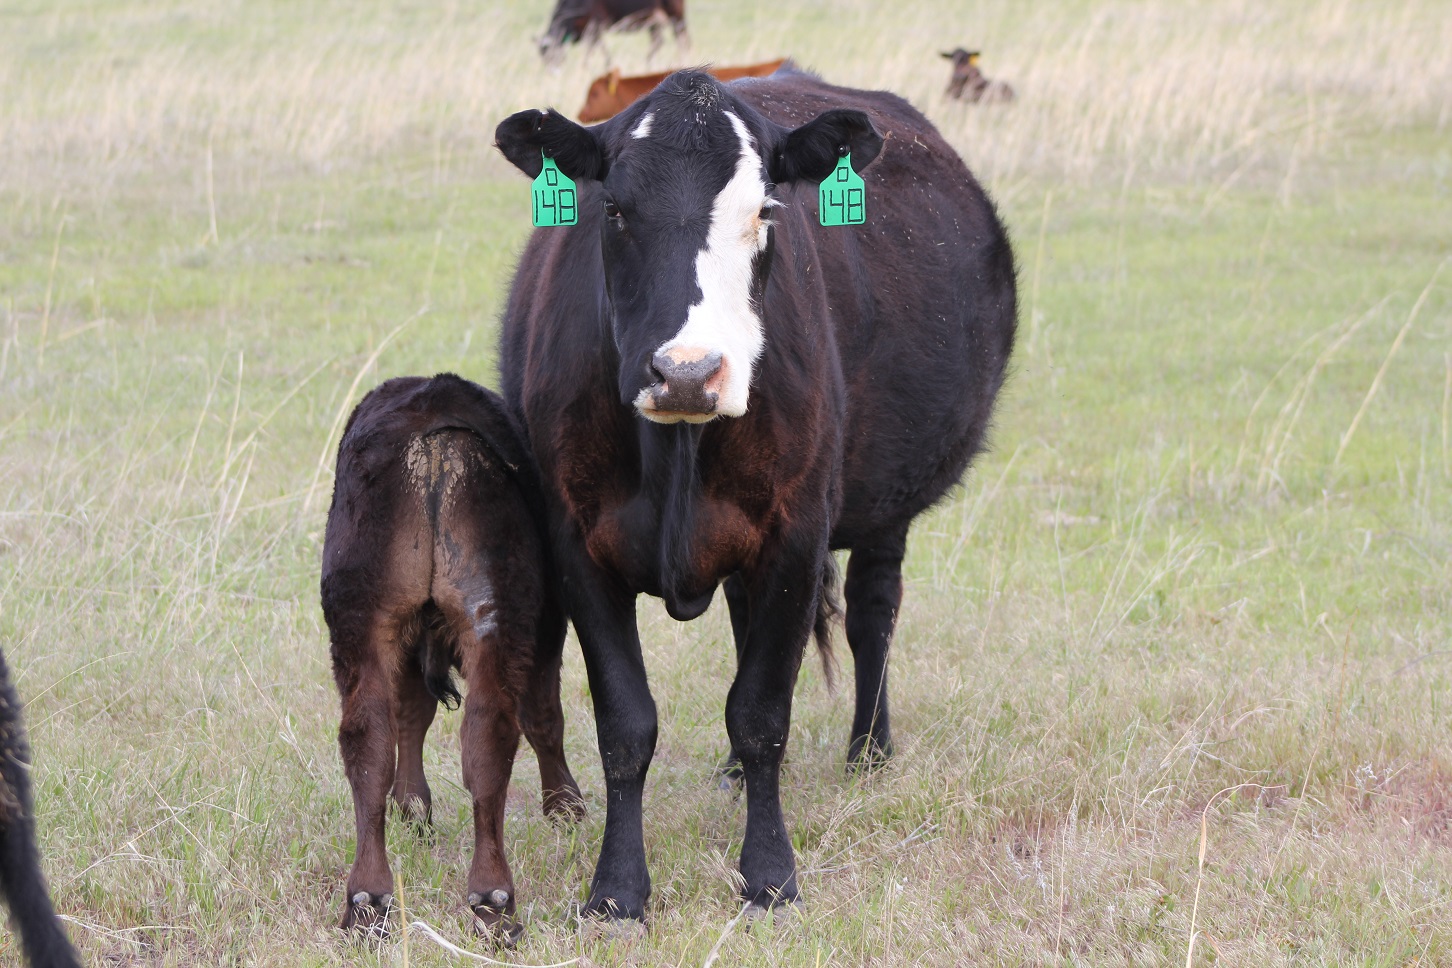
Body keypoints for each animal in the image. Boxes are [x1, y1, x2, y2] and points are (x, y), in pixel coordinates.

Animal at [321, 374, 584, 941]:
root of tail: (434, 443)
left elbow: (409, 716)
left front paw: (412, 808)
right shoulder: (548, 625)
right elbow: (545, 719)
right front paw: (565, 806)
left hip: (363, 621)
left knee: (369, 737)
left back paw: (369, 899)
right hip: (502, 621)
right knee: (494, 735)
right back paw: (493, 898)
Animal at [493, 67, 1016, 922]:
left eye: (765, 211)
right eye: (613, 208)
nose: (686, 373)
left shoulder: (795, 536)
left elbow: (763, 712)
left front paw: (771, 874)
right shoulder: (577, 543)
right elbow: (626, 724)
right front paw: (617, 889)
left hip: (883, 506)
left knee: (872, 614)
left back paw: (869, 750)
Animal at [538, 0, 688, 65]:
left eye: (552, 56)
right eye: (544, 58)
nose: (552, 73)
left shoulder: (595, 25)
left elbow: (596, 49)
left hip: (676, 16)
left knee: (683, 40)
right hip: (653, 20)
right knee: (658, 42)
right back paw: (648, 62)